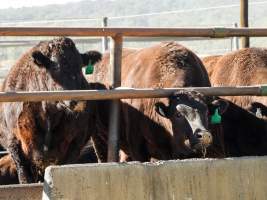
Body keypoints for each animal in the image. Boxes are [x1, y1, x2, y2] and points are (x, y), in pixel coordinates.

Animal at [0, 36, 101, 184]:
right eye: (55, 66)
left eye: (80, 66)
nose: (79, 99)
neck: (48, 114)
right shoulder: (13, 143)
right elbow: (24, 177)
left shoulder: (75, 143)